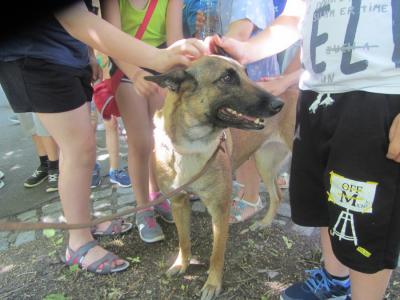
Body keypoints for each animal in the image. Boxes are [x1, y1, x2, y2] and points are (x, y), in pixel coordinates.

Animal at [145, 55, 296, 298]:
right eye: (227, 78)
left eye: (246, 73)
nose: (278, 104)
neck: (190, 145)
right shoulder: (178, 202)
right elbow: (184, 240)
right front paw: (181, 264)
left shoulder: (219, 209)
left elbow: (217, 252)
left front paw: (212, 284)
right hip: (264, 162)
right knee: (277, 196)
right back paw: (264, 223)